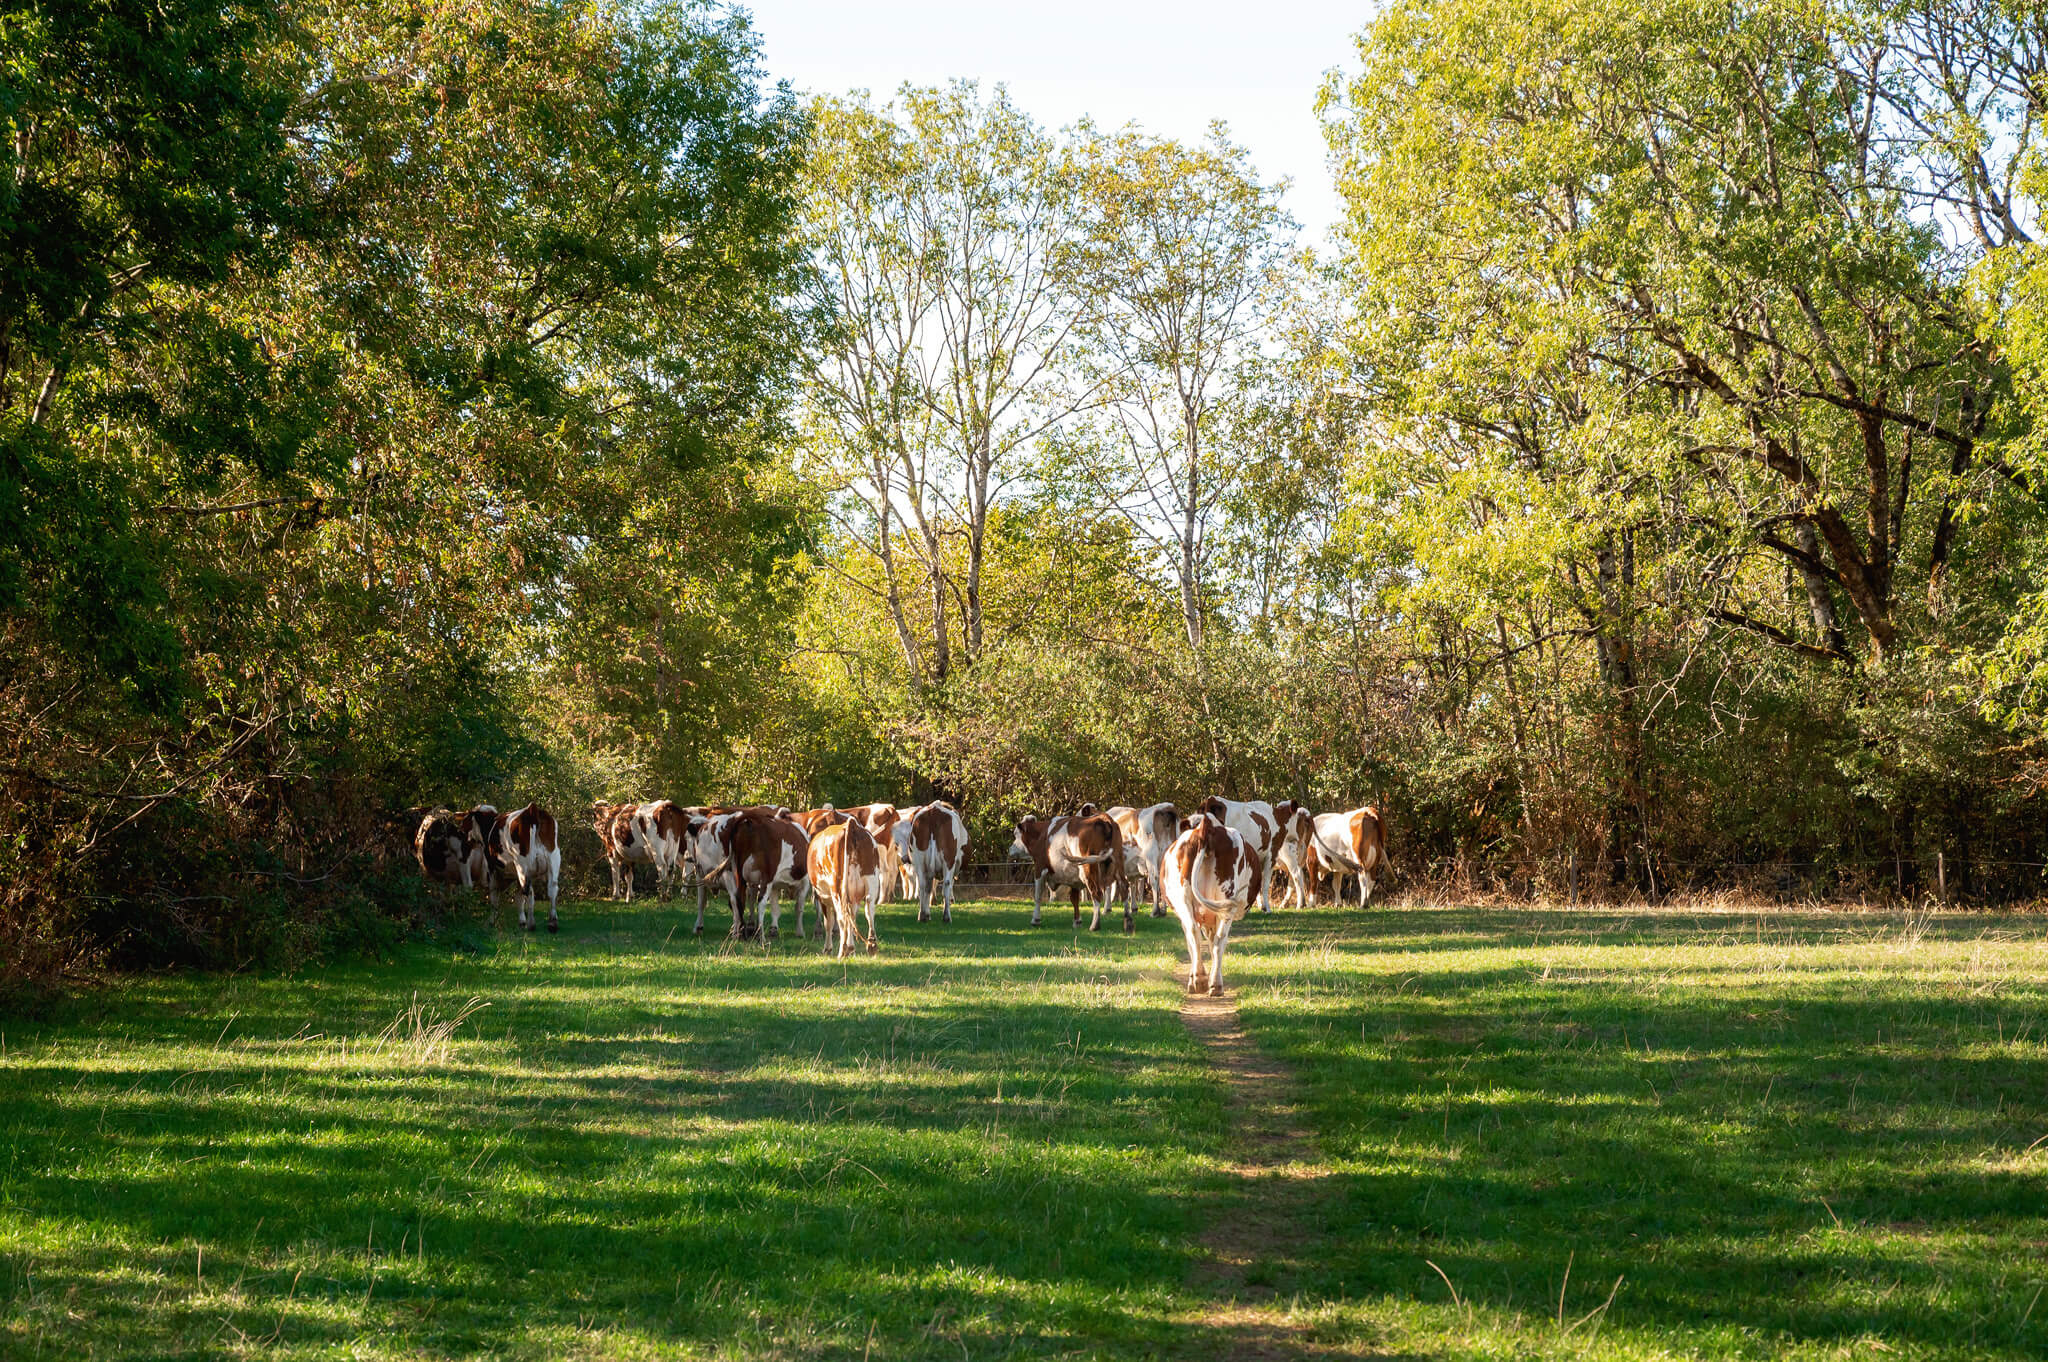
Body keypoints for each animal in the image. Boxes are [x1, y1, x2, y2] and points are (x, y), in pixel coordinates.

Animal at [492, 803, 562, 932]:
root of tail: (532, 809)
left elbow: (495, 895)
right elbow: (518, 895)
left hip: (523, 865)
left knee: (528, 890)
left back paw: (531, 924)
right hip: (554, 858)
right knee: (552, 888)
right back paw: (552, 923)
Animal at [807, 819, 884, 959]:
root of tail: (851, 824)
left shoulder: (823, 896)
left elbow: (829, 923)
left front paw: (828, 948)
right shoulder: (853, 897)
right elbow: (852, 918)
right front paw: (851, 948)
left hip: (837, 889)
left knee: (842, 917)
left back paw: (842, 951)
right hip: (871, 881)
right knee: (869, 910)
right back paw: (871, 945)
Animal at [1161, 811, 1263, 995]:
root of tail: (1205, 827)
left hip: (1186, 898)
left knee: (1198, 935)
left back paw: (1202, 980)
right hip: (1222, 902)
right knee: (1217, 939)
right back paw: (1213, 983)